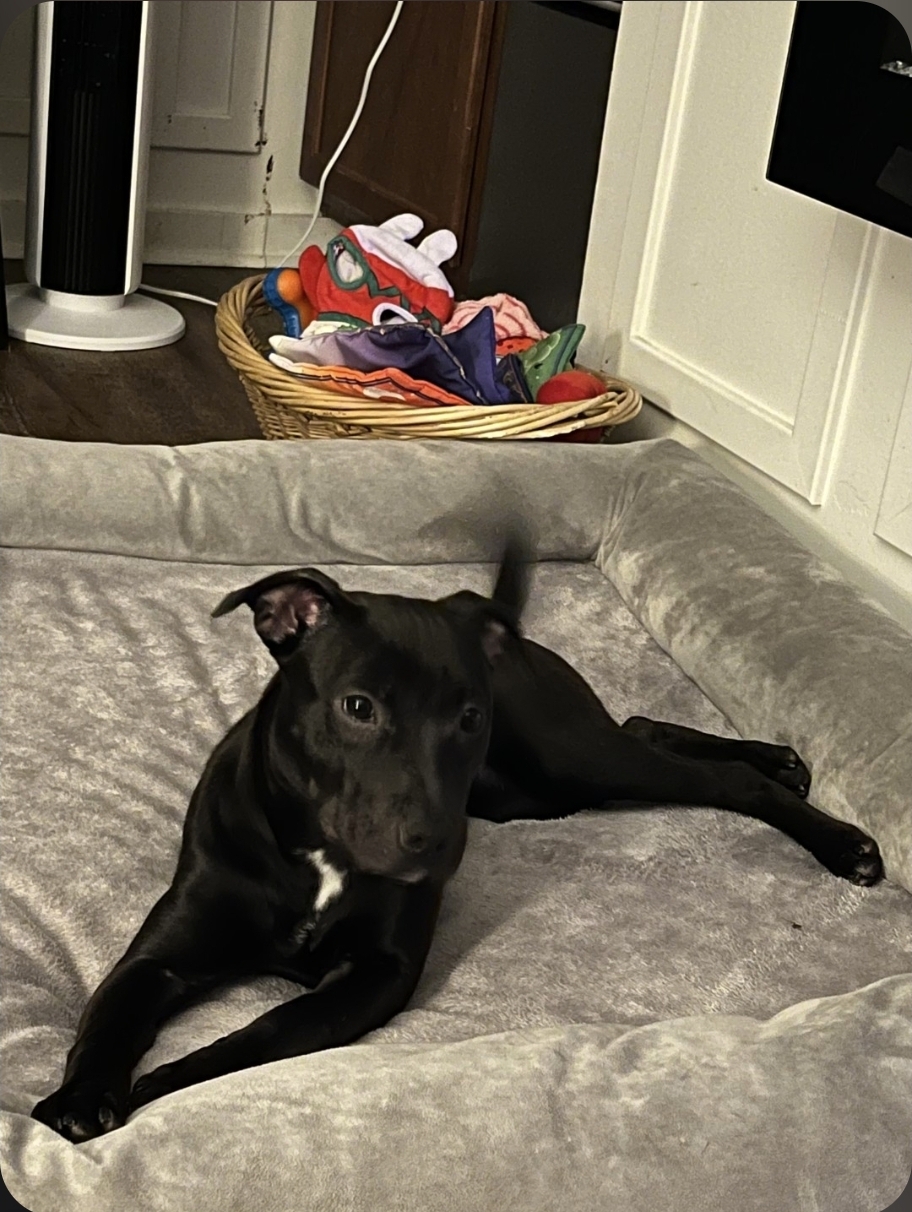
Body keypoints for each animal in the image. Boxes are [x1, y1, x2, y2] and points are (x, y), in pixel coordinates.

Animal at [32, 548, 883, 1142]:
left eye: (469, 716)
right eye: (358, 707)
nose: (435, 843)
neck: (318, 853)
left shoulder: (376, 975)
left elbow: (259, 1034)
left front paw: (152, 1090)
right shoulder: (162, 954)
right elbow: (109, 1015)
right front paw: (78, 1099)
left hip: (566, 758)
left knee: (706, 775)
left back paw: (834, 833)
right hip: (542, 789)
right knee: (647, 727)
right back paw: (780, 761)